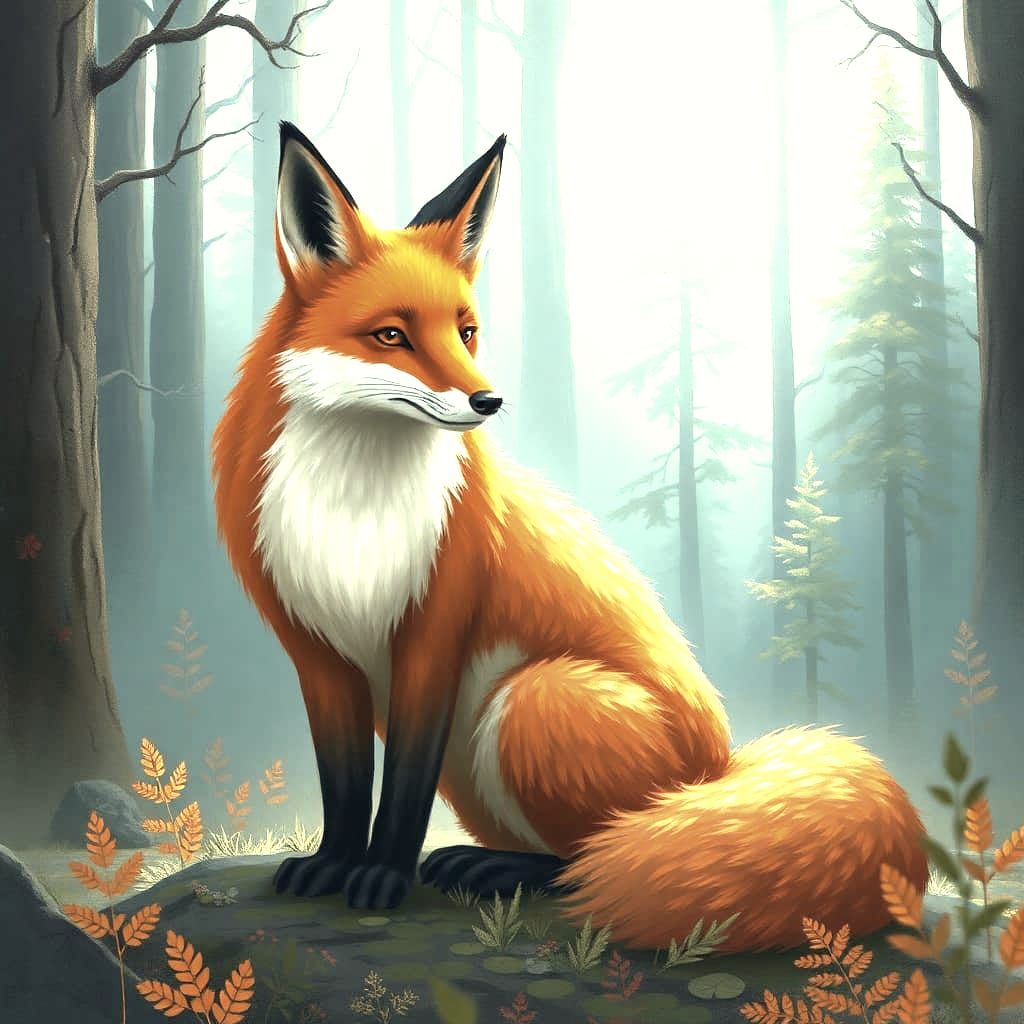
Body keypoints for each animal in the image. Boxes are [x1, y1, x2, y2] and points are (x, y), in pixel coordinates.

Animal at [212, 121, 928, 952]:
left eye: (466, 332)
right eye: (391, 335)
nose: (488, 401)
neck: (354, 511)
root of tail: (721, 768)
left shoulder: (435, 634)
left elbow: (402, 794)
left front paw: (382, 877)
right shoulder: (317, 654)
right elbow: (346, 784)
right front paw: (333, 864)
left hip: (532, 700)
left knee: (602, 854)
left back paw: (504, 870)